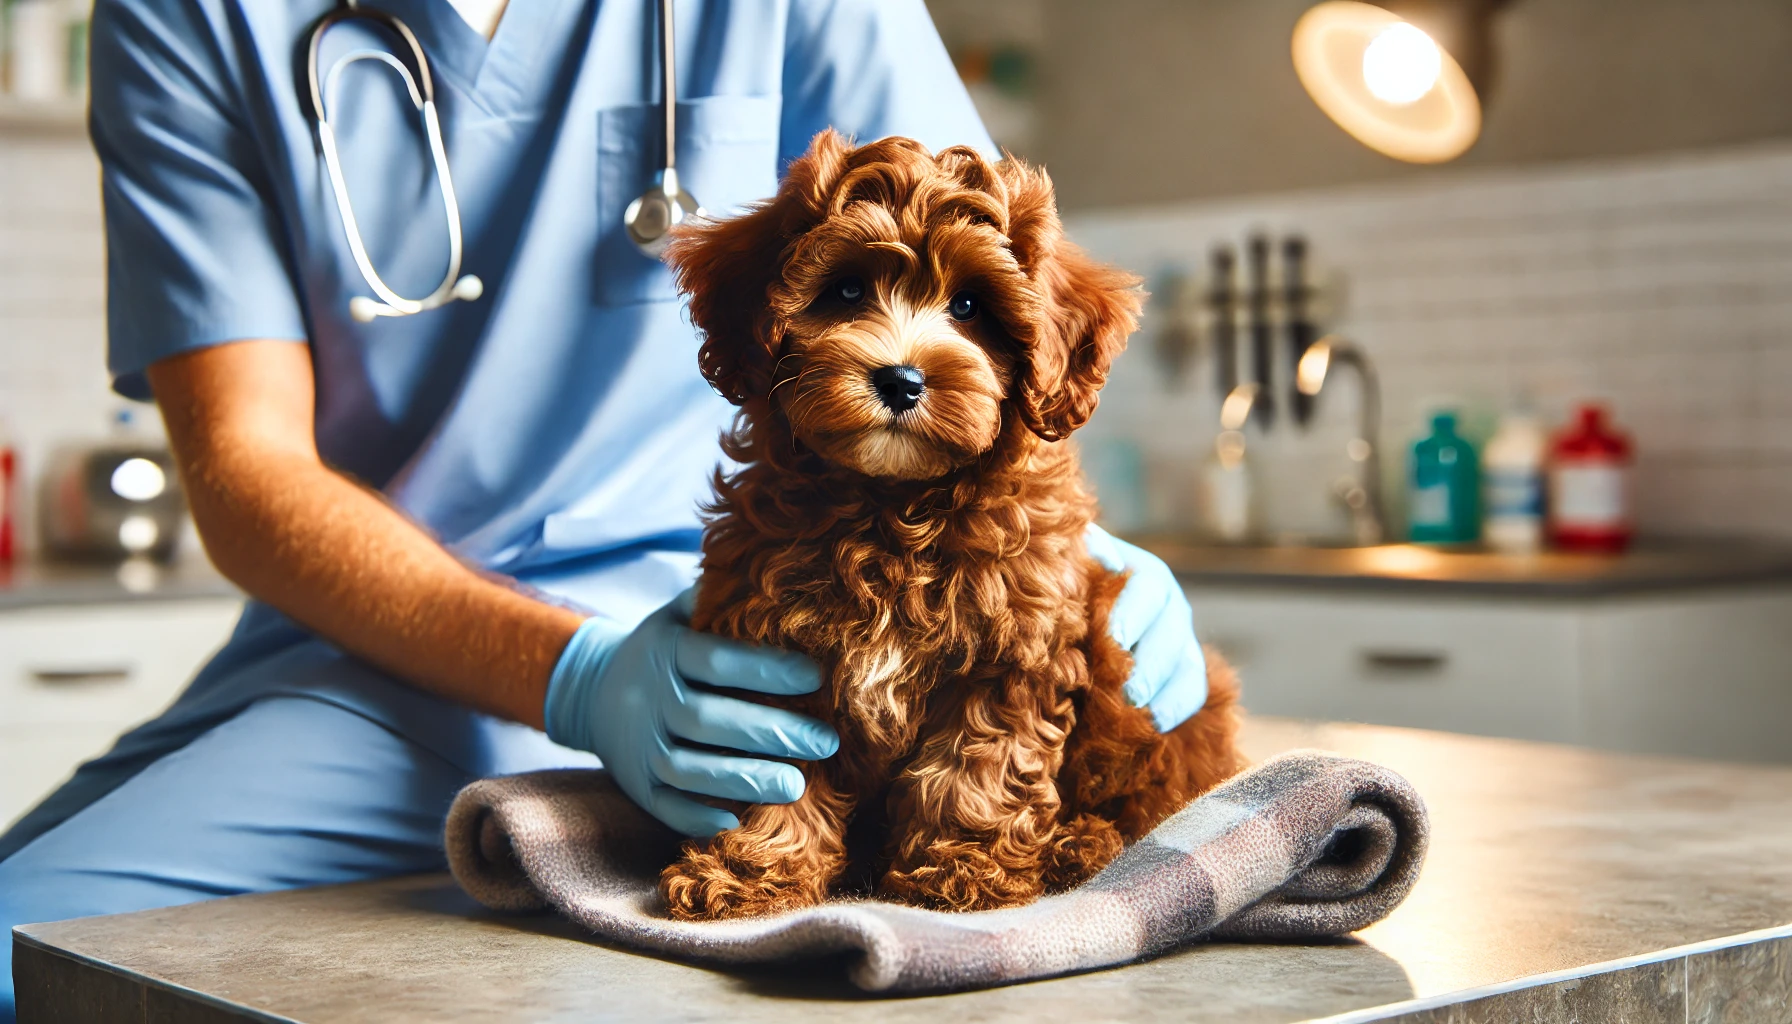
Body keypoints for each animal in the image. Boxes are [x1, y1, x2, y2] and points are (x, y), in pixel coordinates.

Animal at [663, 128, 1247, 918]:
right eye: (846, 291)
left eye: (971, 305)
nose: (901, 379)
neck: (891, 507)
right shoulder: (769, 651)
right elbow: (770, 770)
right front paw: (750, 872)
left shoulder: (1013, 654)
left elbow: (979, 766)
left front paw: (961, 873)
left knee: (1149, 804)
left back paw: (1081, 843)